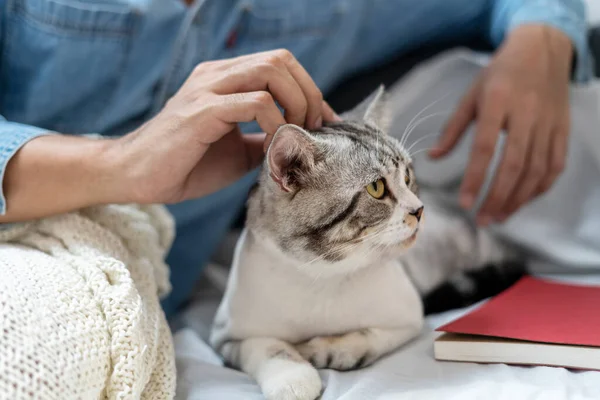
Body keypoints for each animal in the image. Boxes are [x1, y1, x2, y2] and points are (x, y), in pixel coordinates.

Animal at [210, 87, 520, 400]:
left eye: (407, 176)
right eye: (376, 188)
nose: (419, 209)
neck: (322, 274)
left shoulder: (409, 315)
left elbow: (368, 336)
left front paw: (325, 350)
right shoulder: (227, 336)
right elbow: (269, 347)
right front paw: (293, 378)